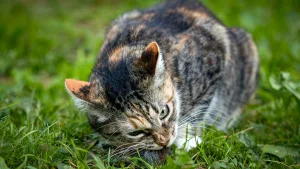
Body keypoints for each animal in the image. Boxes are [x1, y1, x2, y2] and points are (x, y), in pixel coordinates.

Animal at [65, 0, 258, 164]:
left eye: (164, 111)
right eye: (135, 132)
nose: (165, 141)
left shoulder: (214, 55)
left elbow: (200, 108)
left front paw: (187, 139)